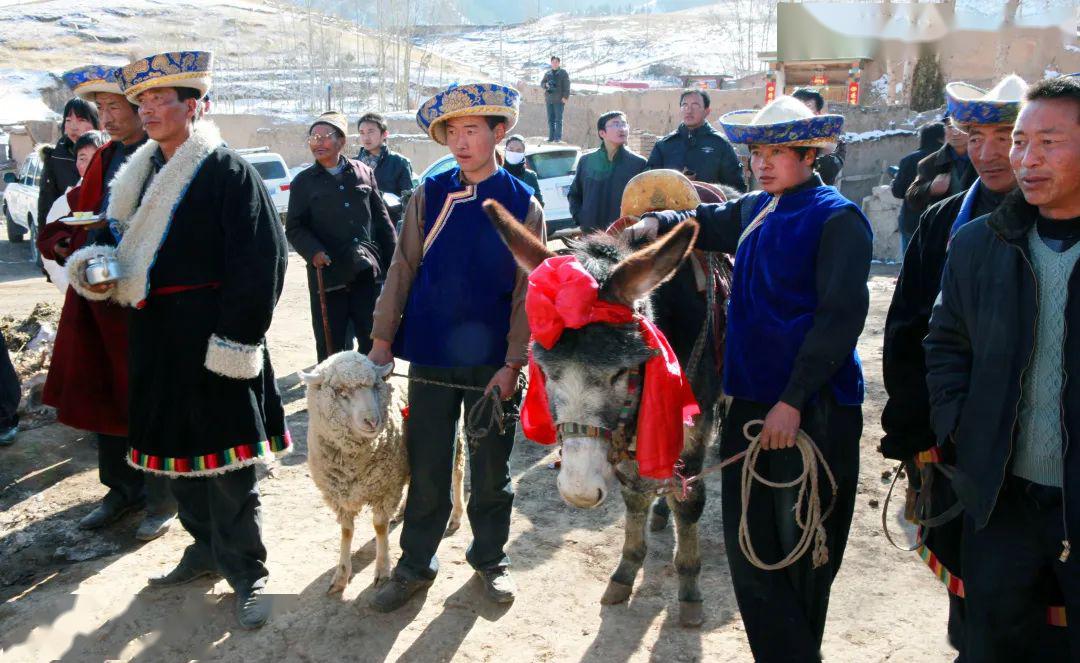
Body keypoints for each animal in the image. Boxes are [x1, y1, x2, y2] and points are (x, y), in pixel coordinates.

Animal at [300, 356, 464, 596]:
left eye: (374, 386)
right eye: (340, 391)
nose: (372, 421)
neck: (353, 462)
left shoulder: (385, 488)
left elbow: (379, 527)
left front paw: (382, 570)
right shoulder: (340, 496)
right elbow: (346, 531)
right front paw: (341, 575)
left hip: (455, 437)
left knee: (458, 475)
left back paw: (456, 515)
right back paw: (403, 509)